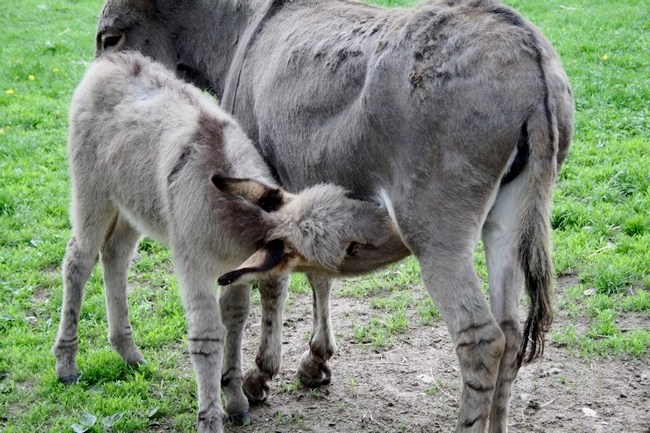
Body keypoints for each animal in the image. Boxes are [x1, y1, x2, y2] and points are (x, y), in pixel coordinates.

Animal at [52, 51, 390, 432]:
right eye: (351, 248)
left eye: (348, 197)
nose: (391, 222)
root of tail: (113, 59)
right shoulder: (194, 266)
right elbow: (207, 335)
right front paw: (211, 417)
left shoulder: (237, 268)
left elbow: (235, 319)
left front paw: (235, 397)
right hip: (92, 192)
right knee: (79, 260)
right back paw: (67, 363)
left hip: (133, 204)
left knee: (115, 255)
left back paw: (128, 352)